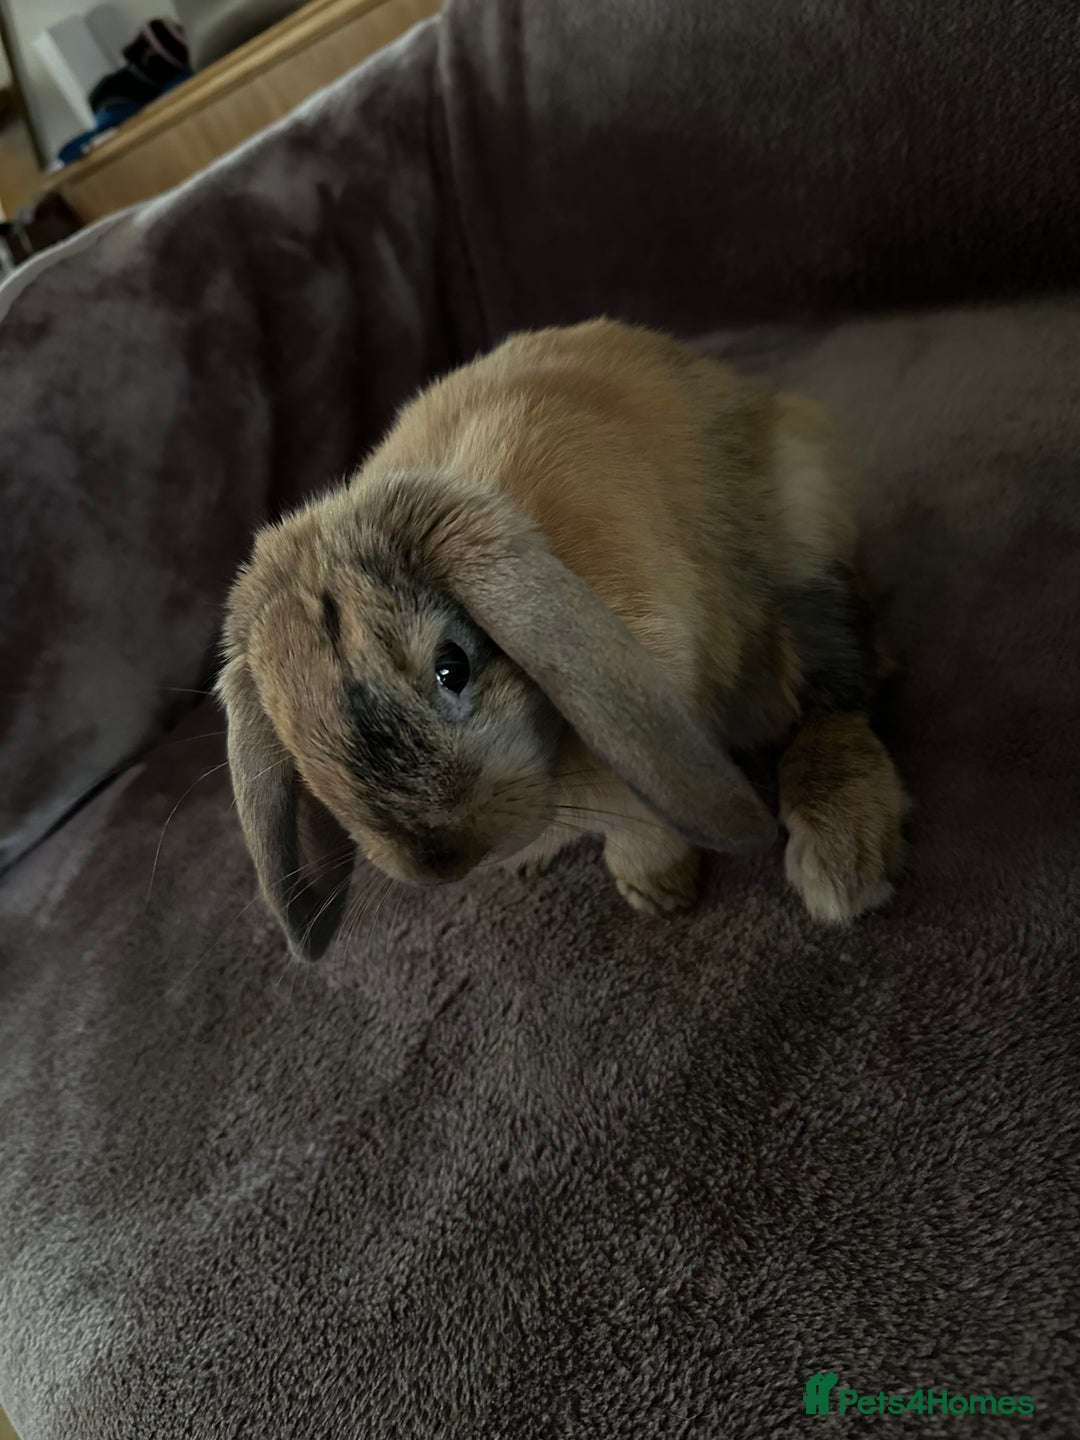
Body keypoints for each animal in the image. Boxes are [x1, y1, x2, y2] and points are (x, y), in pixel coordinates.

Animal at [219, 318, 906, 960]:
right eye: (297, 740)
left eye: (452, 667)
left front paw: (660, 894)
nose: (442, 859)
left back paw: (842, 862)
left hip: (805, 538)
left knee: (837, 693)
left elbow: (638, 831)